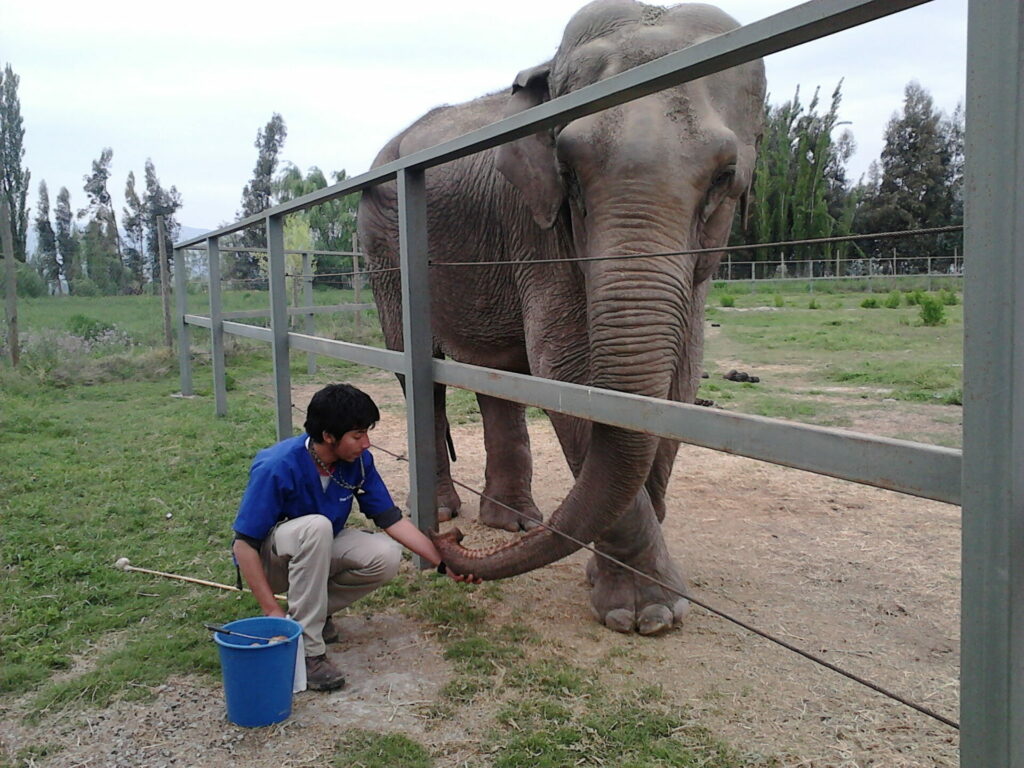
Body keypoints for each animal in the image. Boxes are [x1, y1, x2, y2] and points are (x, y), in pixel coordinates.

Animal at [356, 0, 765, 638]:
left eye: (726, 176)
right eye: (568, 169)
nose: (451, 548)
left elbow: (680, 376)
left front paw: (643, 599)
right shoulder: (537, 229)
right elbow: (568, 372)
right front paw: (644, 615)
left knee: (498, 374)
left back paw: (513, 524)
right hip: (383, 247)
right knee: (419, 369)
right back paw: (451, 512)